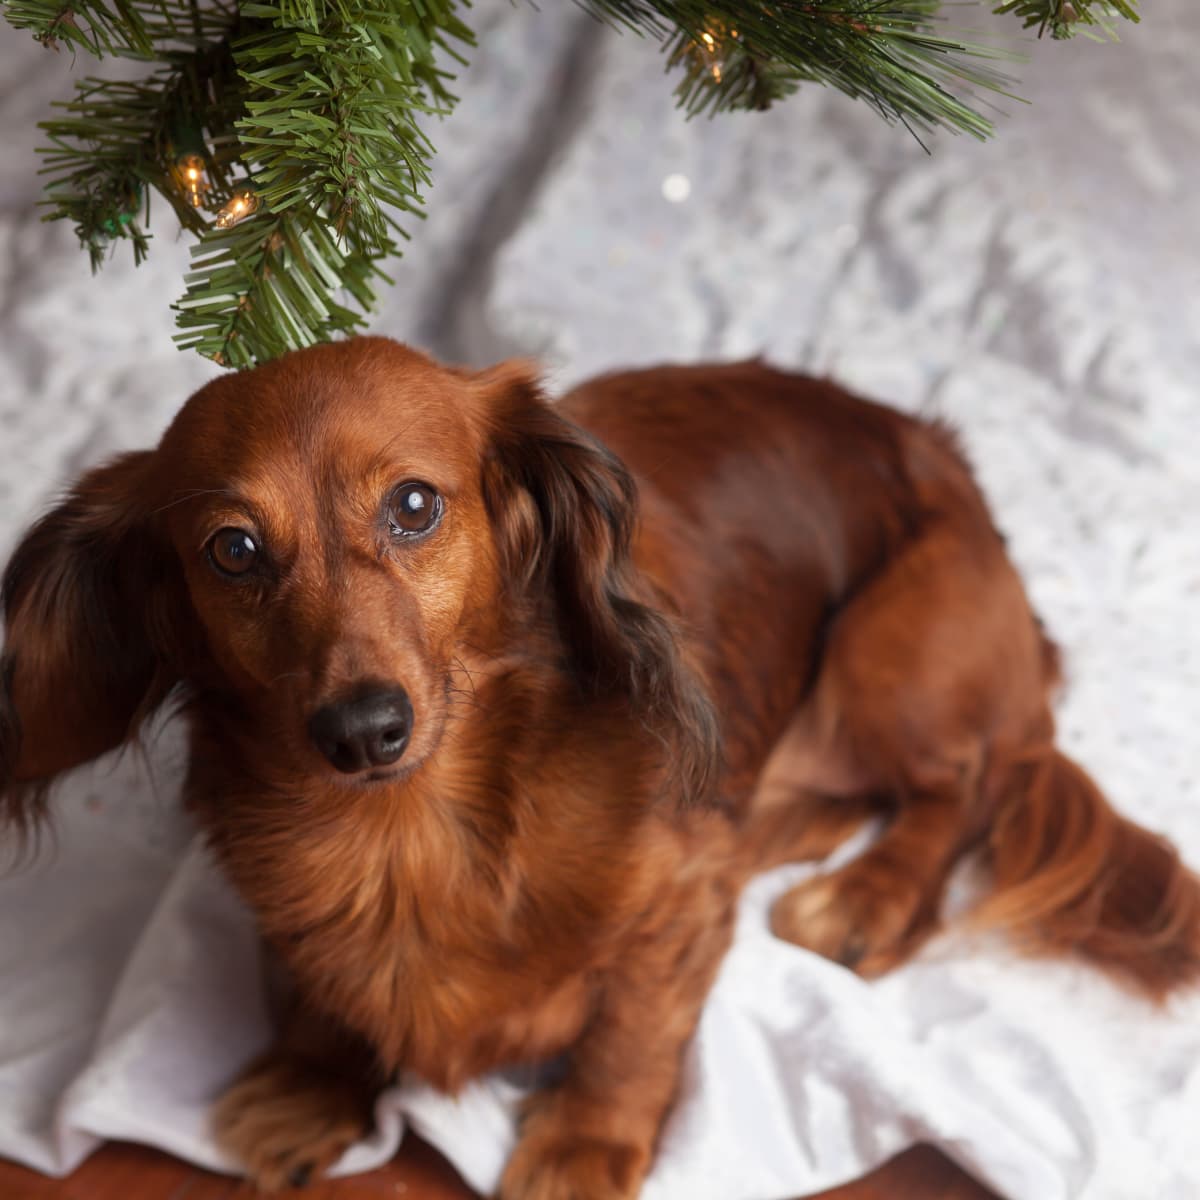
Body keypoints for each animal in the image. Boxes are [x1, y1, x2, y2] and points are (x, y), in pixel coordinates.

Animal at [0, 340, 1195, 1200]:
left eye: (414, 505)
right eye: (234, 551)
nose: (361, 731)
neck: (416, 837)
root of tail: (948, 458)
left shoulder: (681, 902)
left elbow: (630, 1029)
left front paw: (584, 1145)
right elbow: (323, 990)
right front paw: (312, 1084)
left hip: (891, 648)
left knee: (965, 782)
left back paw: (866, 895)